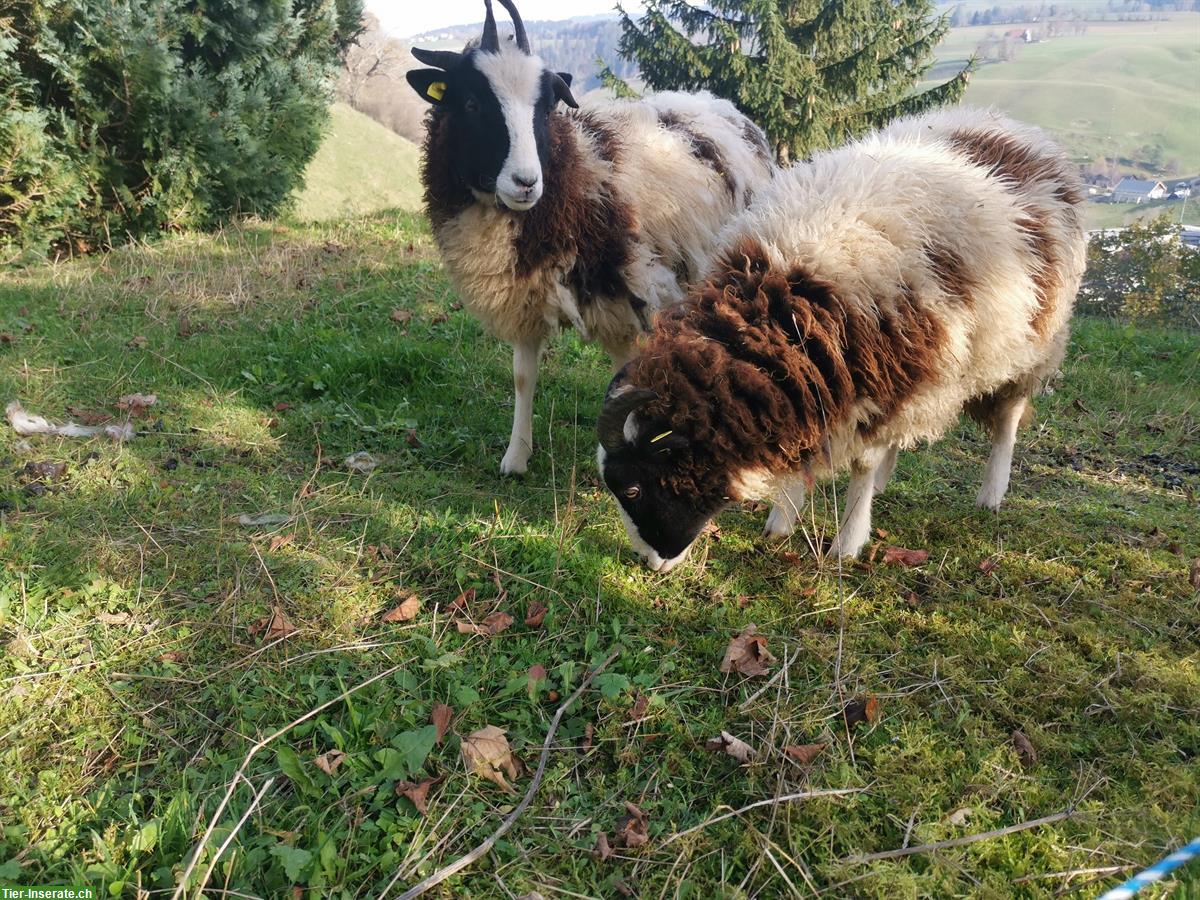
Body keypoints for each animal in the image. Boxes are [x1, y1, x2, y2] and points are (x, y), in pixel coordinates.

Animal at [408, 0, 772, 475]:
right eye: (471, 102)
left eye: (545, 109)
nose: (526, 182)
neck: (572, 168)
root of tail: (723, 106)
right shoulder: (525, 292)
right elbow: (523, 375)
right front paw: (516, 456)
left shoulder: (632, 292)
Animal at [600, 105, 1089, 571]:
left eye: (633, 488)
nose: (650, 562)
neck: (790, 297)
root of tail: (1015, 129)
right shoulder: (823, 382)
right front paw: (782, 521)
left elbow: (861, 464)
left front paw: (848, 541)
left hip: (1032, 343)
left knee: (1008, 418)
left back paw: (991, 493)